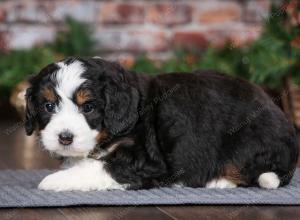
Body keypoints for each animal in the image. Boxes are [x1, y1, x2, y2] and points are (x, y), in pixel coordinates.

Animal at [24, 56, 298, 191]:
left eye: (88, 107)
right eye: (48, 106)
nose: (65, 137)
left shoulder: (145, 159)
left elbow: (100, 167)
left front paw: (54, 181)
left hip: (247, 140)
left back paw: (218, 180)